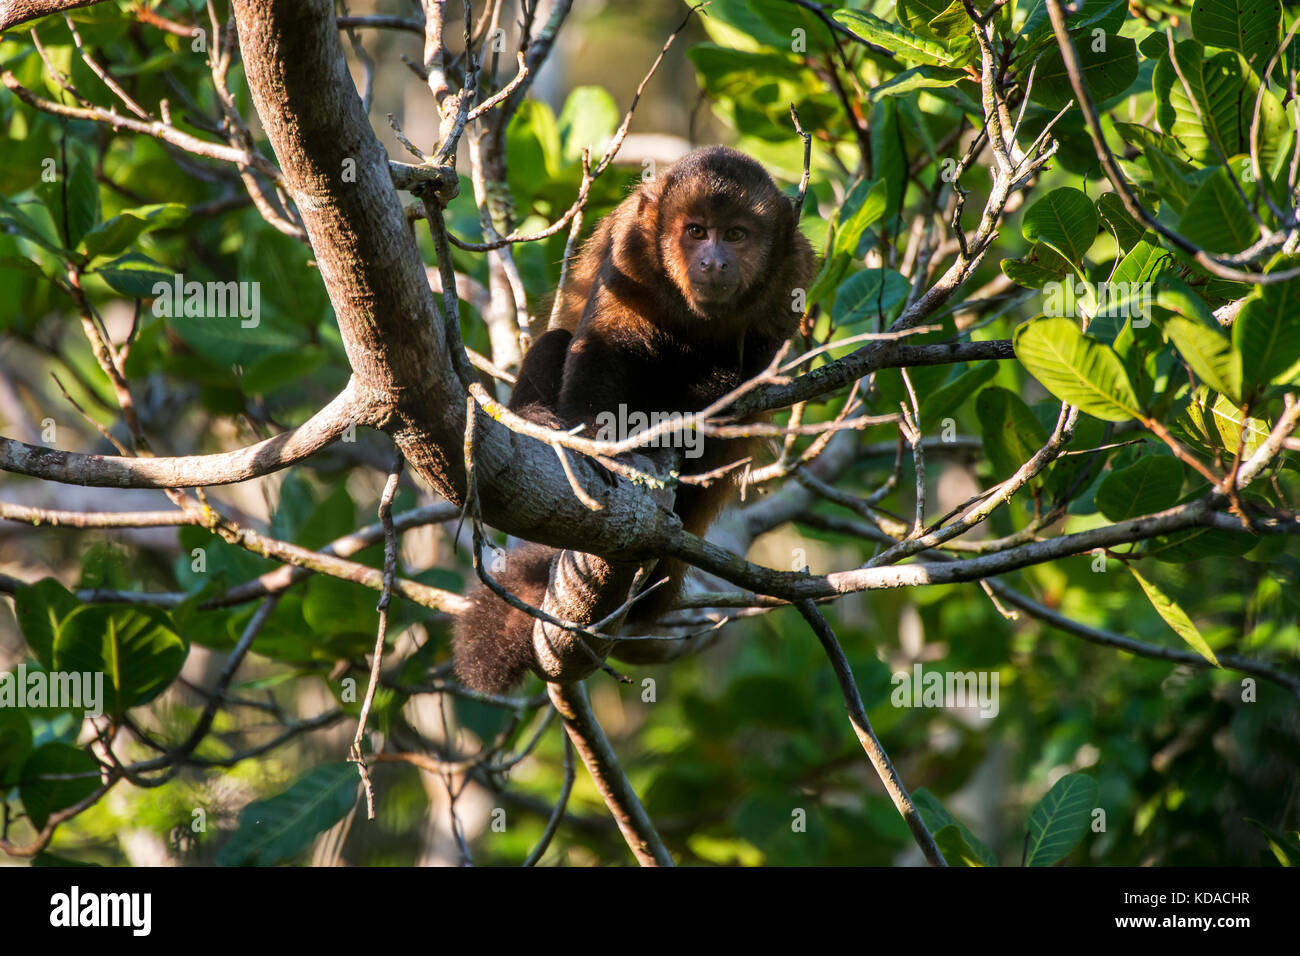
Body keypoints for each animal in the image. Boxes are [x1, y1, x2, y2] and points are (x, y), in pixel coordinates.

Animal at [454, 145, 811, 691]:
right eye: (696, 231)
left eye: (736, 234)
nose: (713, 260)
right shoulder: (633, 253)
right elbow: (605, 344)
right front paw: (602, 444)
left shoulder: (792, 276)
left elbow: (748, 374)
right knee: (557, 342)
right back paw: (542, 422)